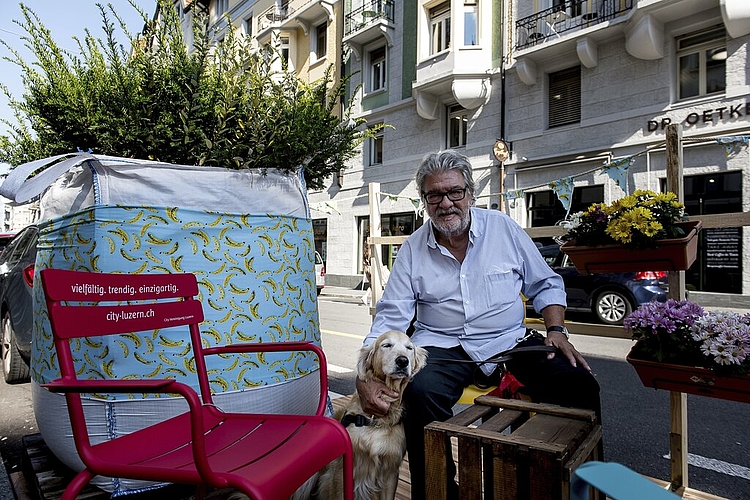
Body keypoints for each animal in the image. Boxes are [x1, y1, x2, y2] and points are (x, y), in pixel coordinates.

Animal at [312, 330, 428, 498]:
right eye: (386, 345)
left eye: (409, 348)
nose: (402, 361)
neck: (376, 419)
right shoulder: (342, 471)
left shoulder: (390, 471)